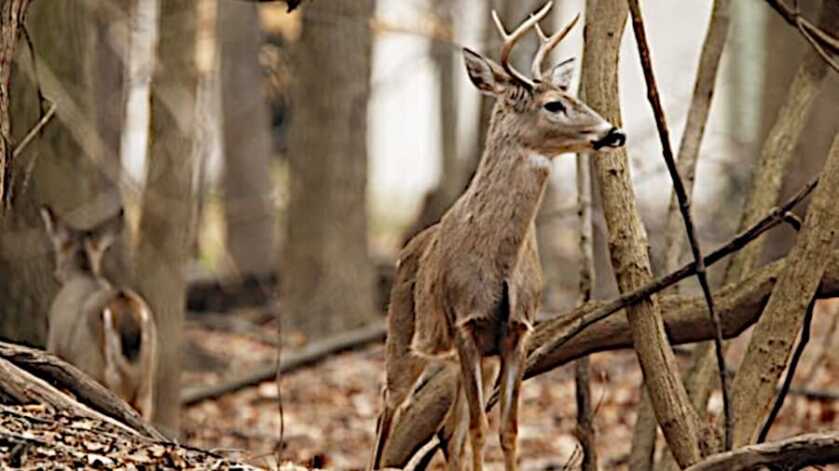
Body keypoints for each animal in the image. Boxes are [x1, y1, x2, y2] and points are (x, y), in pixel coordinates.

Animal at [369, 3, 625, 470]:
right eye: (554, 104)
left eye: (574, 96)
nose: (613, 131)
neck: (499, 261)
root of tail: (406, 247)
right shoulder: (467, 323)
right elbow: (479, 428)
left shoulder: (516, 331)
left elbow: (507, 429)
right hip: (405, 334)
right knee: (389, 409)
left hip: (459, 360)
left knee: (447, 431)